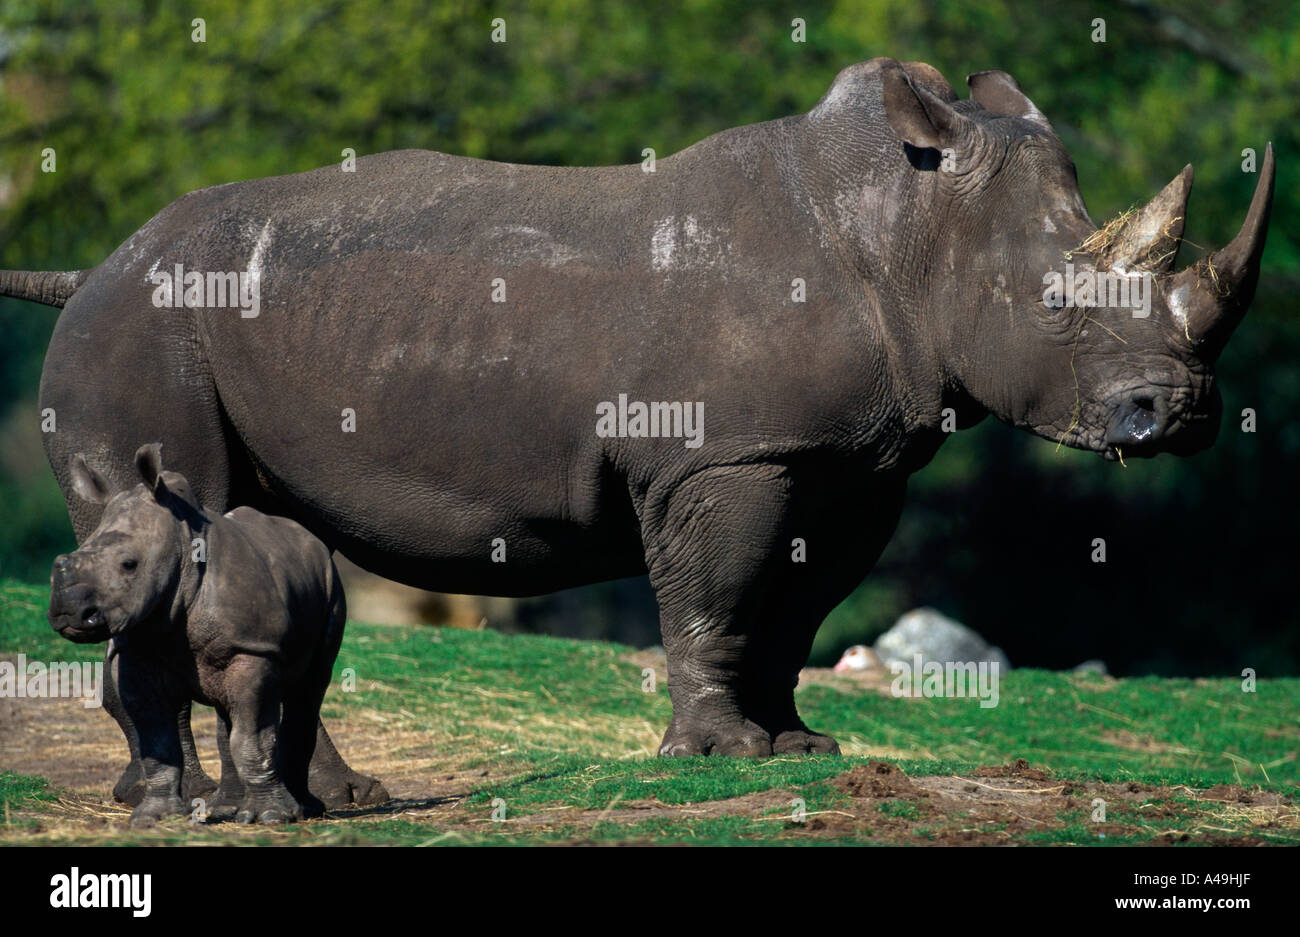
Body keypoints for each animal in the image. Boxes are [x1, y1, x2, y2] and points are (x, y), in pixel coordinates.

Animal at [3, 58, 1274, 766]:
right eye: (1057, 304)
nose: (1182, 415)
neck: (907, 227)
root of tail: (94, 266)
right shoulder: (723, 455)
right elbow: (718, 597)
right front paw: (716, 759)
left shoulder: (849, 464)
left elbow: (792, 611)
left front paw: (798, 747)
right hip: (143, 326)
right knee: (178, 528)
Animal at [50, 444, 349, 825]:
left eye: (129, 565)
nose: (70, 614)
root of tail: (312, 541)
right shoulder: (136, 648)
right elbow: (158, 742)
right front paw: (154, 817)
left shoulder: (253, 648)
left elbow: (253, 740)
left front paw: (273, 816)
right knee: (228, 715)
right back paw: (228, 809)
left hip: (331, 586)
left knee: (307, 689)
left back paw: (304, 809)